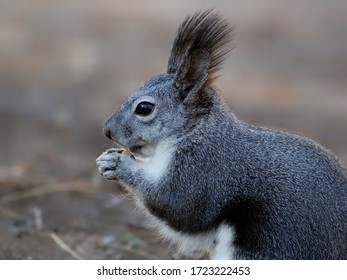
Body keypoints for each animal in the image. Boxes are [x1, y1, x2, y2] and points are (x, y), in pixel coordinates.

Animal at [96, 10, 347, 260]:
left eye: (144, 108)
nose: (107, 130)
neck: (194, 132)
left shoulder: (205, 169)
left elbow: (178, 205)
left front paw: (119, 164)